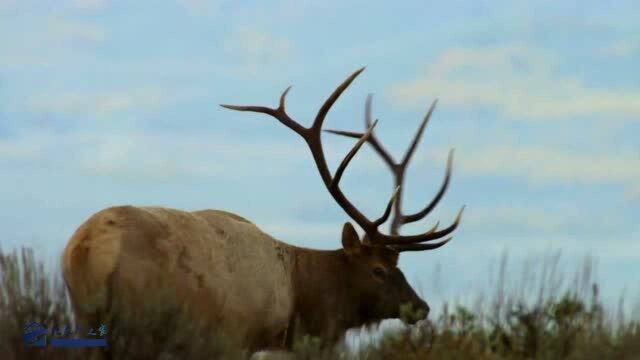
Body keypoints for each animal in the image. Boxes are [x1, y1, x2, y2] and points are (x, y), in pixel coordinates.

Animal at [61, 66, 464, 352]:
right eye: (379, 269)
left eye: (400, 265)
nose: (421, 307)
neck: (296, 299)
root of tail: (86, 251)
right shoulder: (233, 337)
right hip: (138, 323)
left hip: (85, 318)